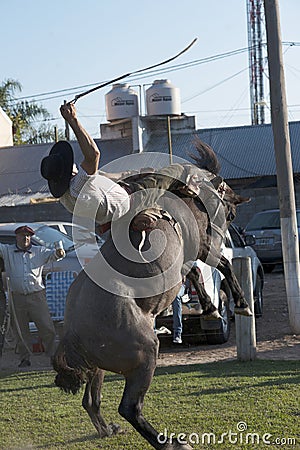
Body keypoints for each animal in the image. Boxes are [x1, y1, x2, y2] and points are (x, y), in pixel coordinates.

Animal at [53, 139, 251, 448]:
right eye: (228, 203)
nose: (229, 224)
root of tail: (73, 334)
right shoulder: (202, 244)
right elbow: (224, 265)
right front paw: (240, 304)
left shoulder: (187, 257)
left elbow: (195, 275)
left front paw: (210, 307)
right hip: (146, 355)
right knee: (130, 408)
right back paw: (171, 442)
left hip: (98, 368)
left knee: (91, 401)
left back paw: (109, 430)